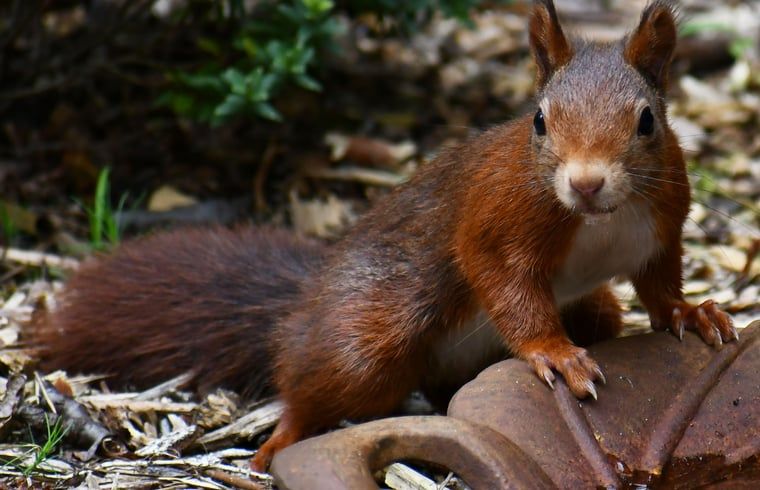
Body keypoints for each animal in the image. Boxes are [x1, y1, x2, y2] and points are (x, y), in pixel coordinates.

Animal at [30, 0, 738, 471]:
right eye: (539, 121)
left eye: (646, 121)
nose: (586, 183)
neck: (601, 220)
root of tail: (305, 303)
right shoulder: (497, 218)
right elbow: (504, 283)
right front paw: (556, 354)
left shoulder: (661, 224)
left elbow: (660, 283)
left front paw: (691, 314)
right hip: (371, 340)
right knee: (318, 383)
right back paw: (274, 447)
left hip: (587, 311)